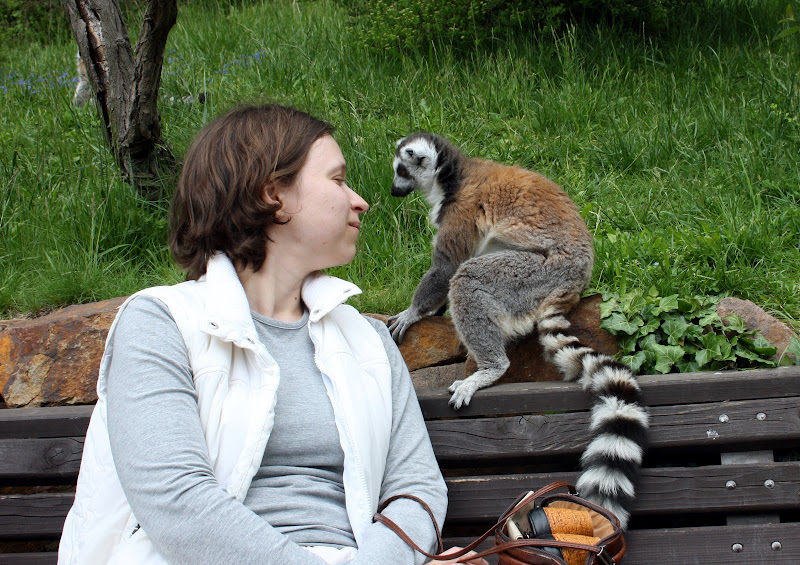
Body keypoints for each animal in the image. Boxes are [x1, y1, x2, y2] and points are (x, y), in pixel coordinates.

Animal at [387, 132, 648, 527]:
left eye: (402, 170)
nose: (393, 189)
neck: (452, 176)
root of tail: (574, 283)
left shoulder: (462, 208)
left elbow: (448, 267)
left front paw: (413, 312)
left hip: (532, 275)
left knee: (469, 277)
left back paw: (489, 369)